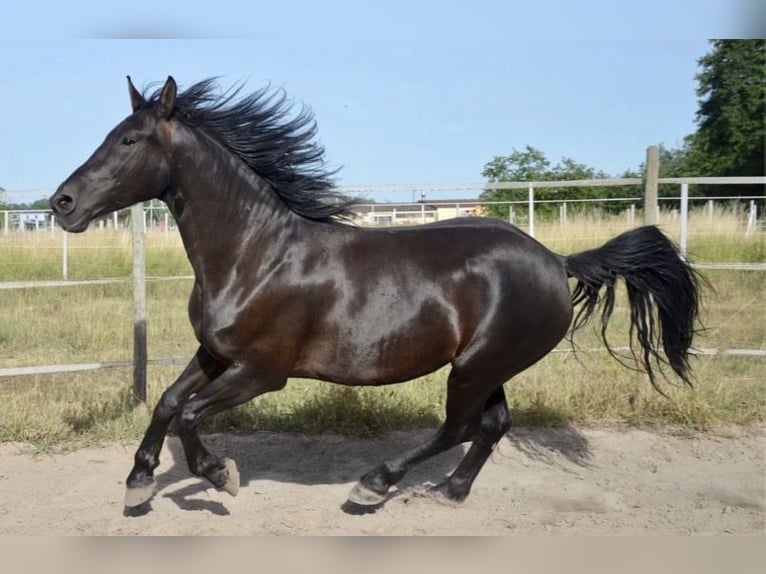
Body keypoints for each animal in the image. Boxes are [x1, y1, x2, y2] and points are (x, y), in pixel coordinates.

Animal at [50, 76, 701, 513]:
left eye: (130, 140)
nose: (62, 203)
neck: (253, 254)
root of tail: (557, 261)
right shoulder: (215, 353)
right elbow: (165, 402)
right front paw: (138, 484)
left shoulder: (262, 371)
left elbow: (187, 413)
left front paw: (217, 474)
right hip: (488, 365)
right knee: (493, 424)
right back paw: (450, 490)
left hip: (474, 366)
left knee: (460, 428)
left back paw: (374, 484)